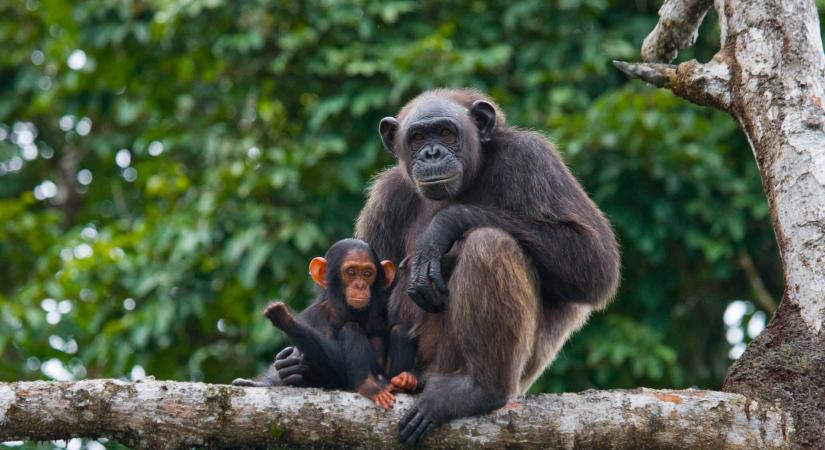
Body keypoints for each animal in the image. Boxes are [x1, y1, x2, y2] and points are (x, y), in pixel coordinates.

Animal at [232, 239, 418, 408]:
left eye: (367, 273)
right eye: (351, 272)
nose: (360, 285)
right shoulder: (312, 317)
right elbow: (332, 368)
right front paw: (287, 320)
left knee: (399, 329)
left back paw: (404, 380)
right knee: (351, 328)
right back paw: (369, 385)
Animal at [274, 89, 616, 444]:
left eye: (446, 132)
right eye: (417, 137)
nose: (432, 153)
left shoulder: (533, 158)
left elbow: (593, 260)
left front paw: (442, 228)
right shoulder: (386, 197)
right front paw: (293, 365)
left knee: (489, 243)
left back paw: (479, 389)